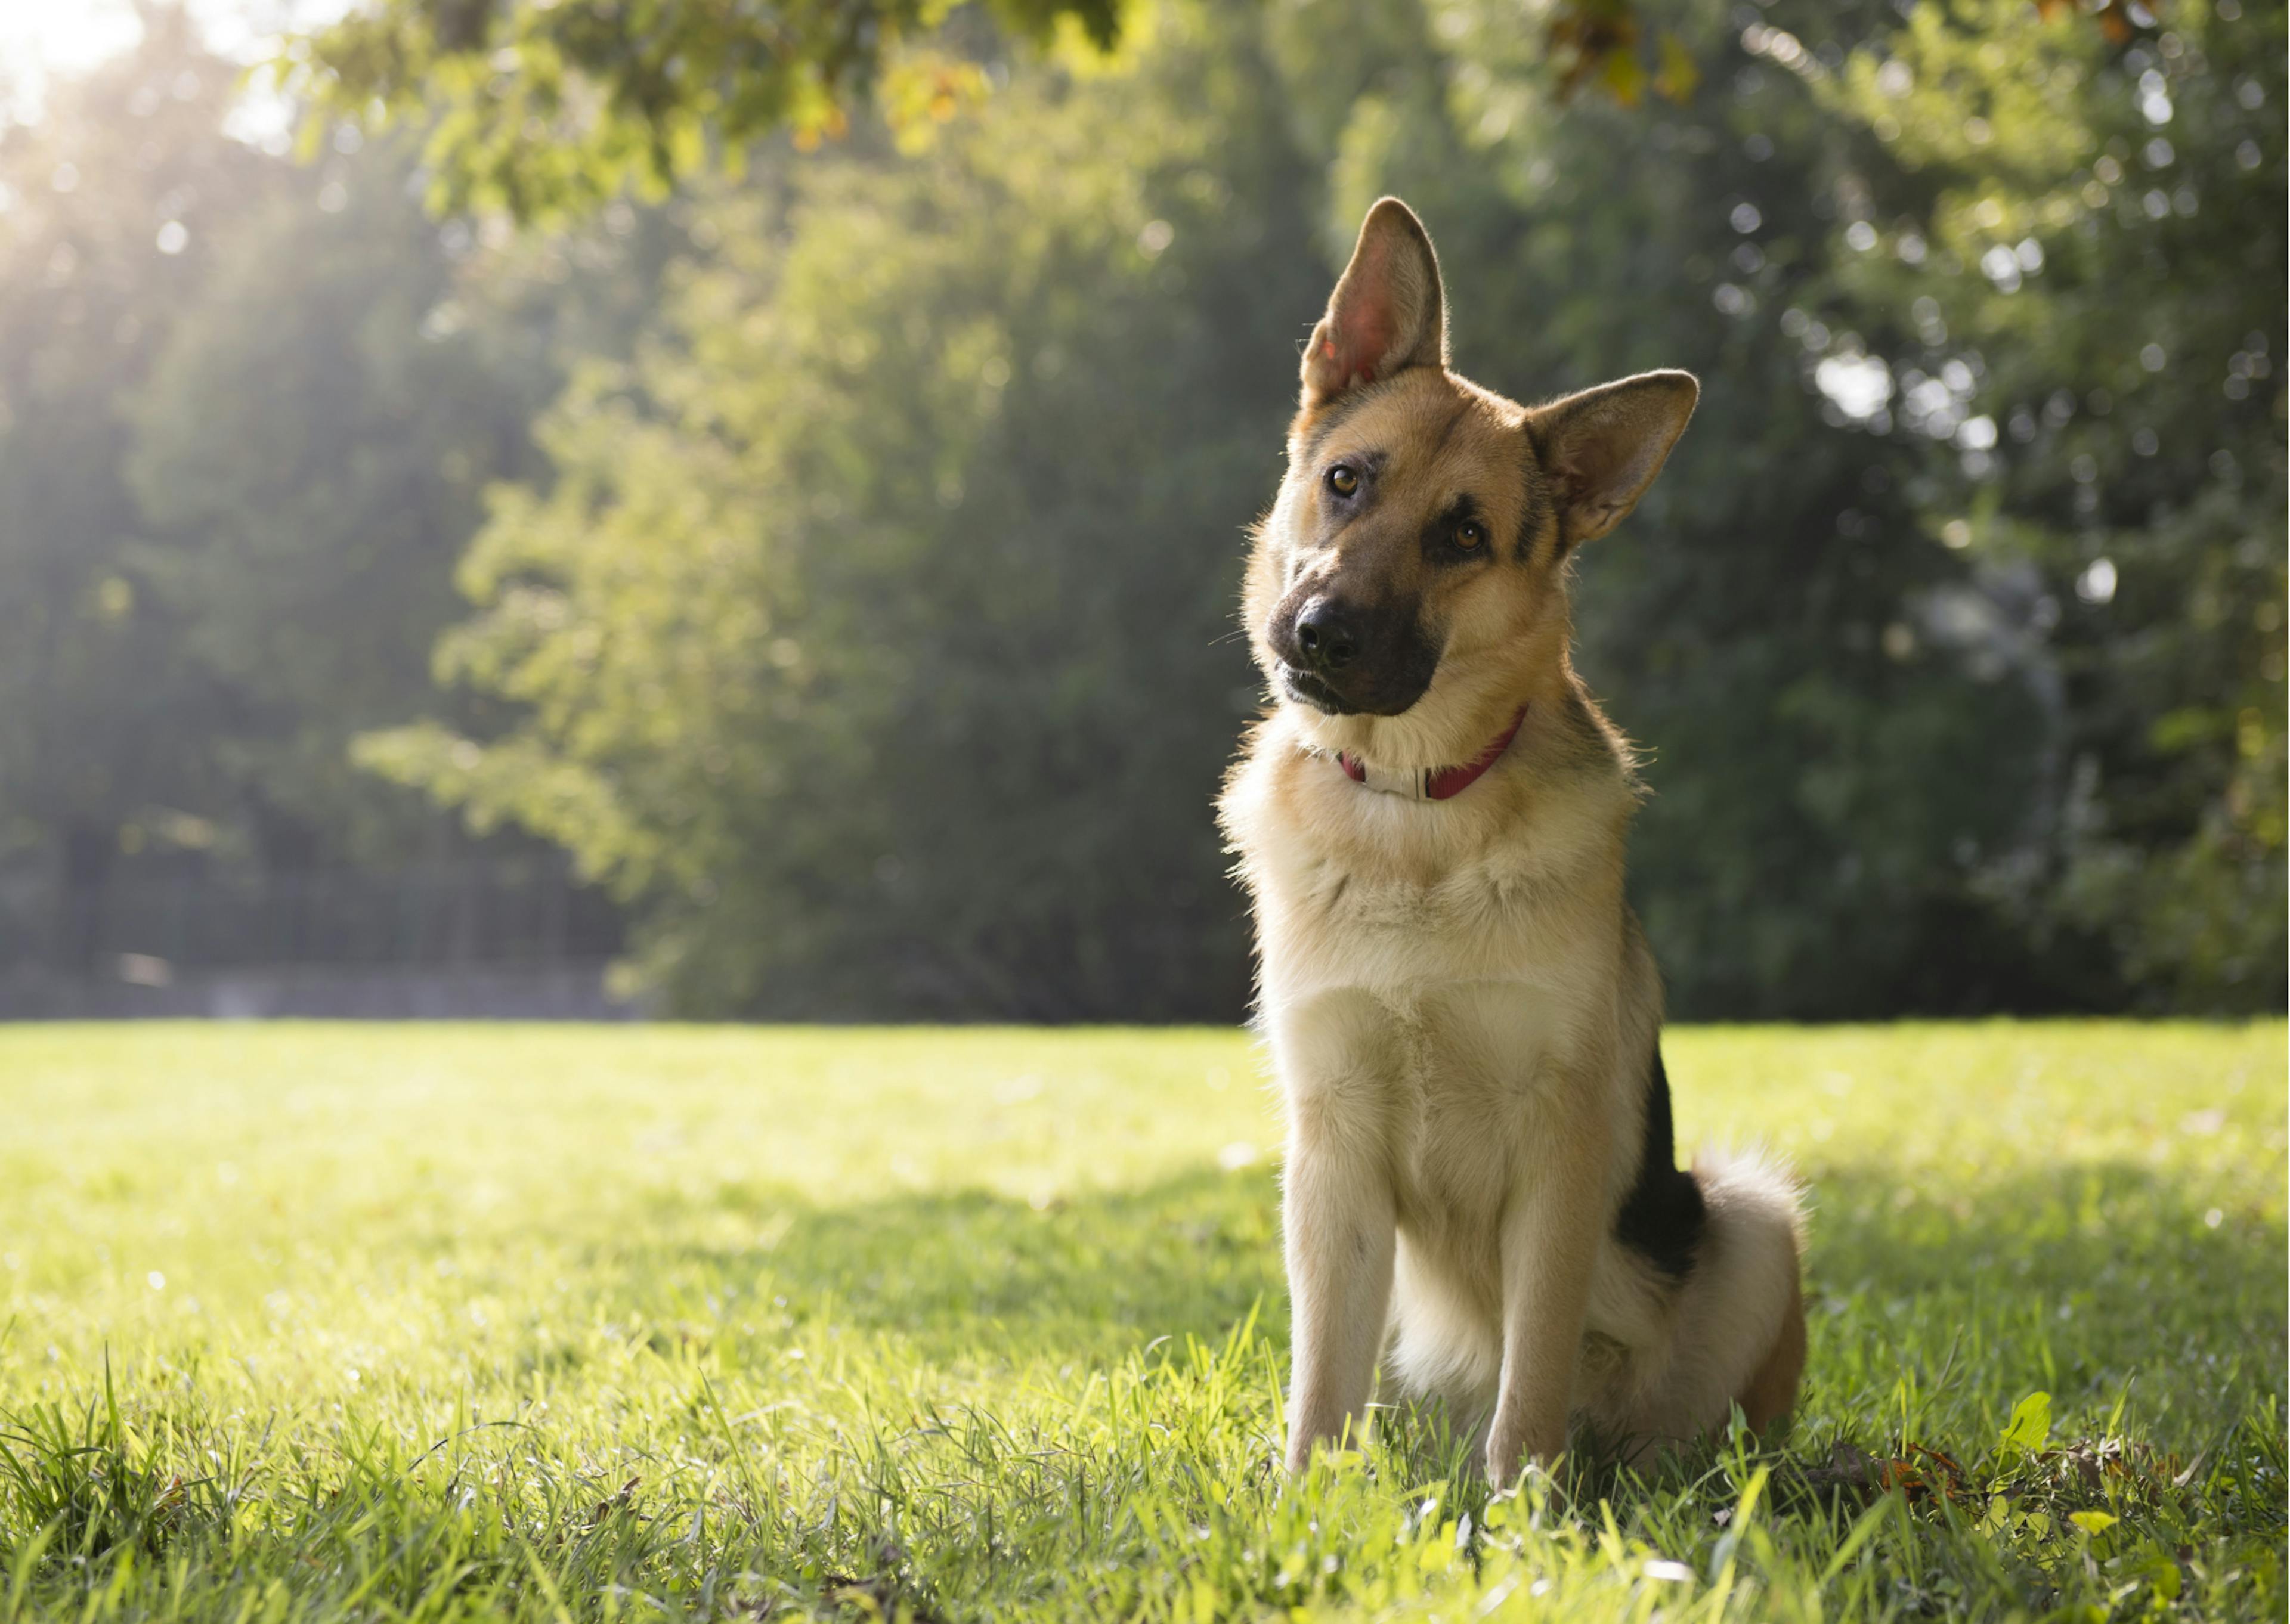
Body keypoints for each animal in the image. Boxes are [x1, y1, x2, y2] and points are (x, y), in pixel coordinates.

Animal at [1218, 196, 1804, 1475]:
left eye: (1464, 536)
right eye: (1347, 481)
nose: (1321, 632)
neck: (1414, 809)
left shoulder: (1562, 1151)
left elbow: (1531, 1369)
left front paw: (1525, 1503)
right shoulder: (1331, 1155)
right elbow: (1319, 1384)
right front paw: (1303, 1500)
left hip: (1749, 1215)